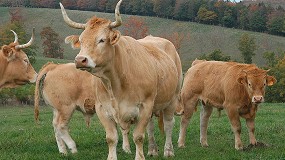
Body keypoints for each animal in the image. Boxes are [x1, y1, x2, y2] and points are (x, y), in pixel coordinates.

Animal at [59, 0, 182, 159]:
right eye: (81, 40)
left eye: (101, 40)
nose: (80, 60)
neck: (115, 83)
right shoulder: (102, 108)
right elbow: (111, 138)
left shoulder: (145, 105)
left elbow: (138, 137)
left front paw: (139, 156)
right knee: (151, 127)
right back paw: (152, 150)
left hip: (172, 99)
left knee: (168, 124)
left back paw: (168, 150)